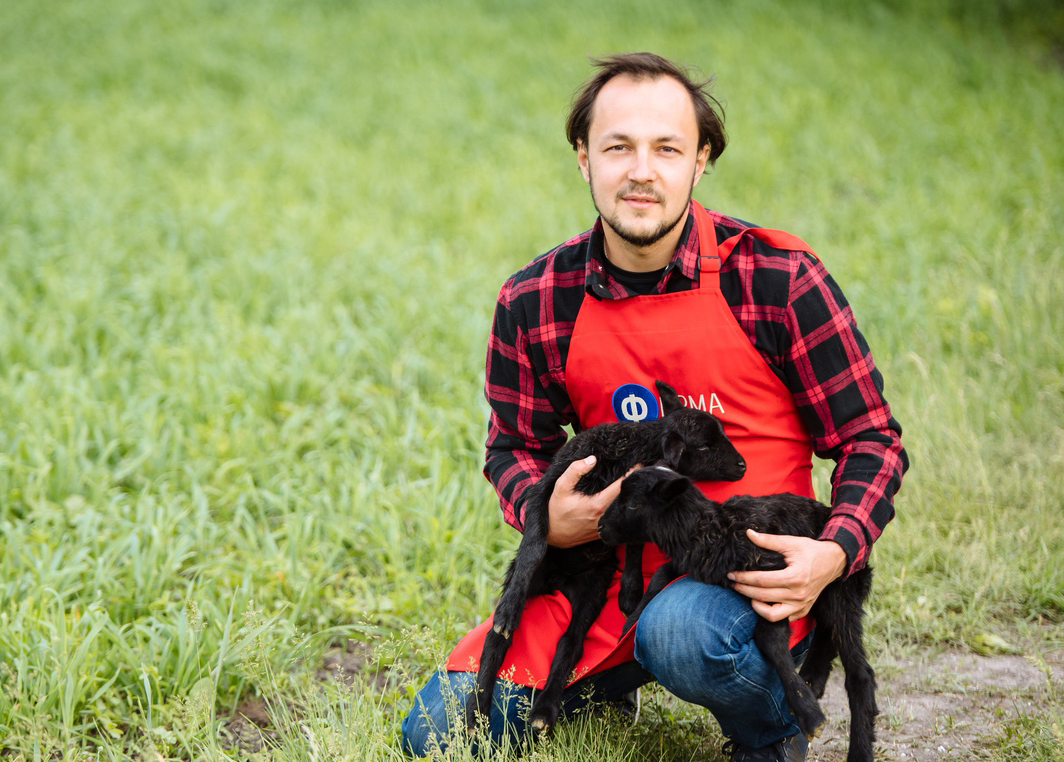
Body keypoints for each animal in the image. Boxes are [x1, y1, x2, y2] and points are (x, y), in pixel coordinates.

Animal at [466, 381, 749, 736]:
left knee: (571, 642)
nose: (742, 465)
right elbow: (534, 544)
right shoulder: (546, 491)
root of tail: (559, 580)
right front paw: (509, 610)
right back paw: (476, 712)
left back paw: (542, 711)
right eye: (706, 445)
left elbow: (635, 541)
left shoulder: (637, 502)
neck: (632, 450)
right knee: (495, 640)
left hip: (593, 588)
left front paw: (630, 591)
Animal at [595, 464, 876, 762]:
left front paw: (809, 715)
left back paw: (857, 747)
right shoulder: (691, 562)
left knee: (860, 673)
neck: (715, 531)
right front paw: (630, 624)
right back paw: (813, 679)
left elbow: (771, 641)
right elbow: (661, 574)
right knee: (826, 634)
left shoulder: (776, 584)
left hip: (839, 588)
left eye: (632, 504)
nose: (600, 527)